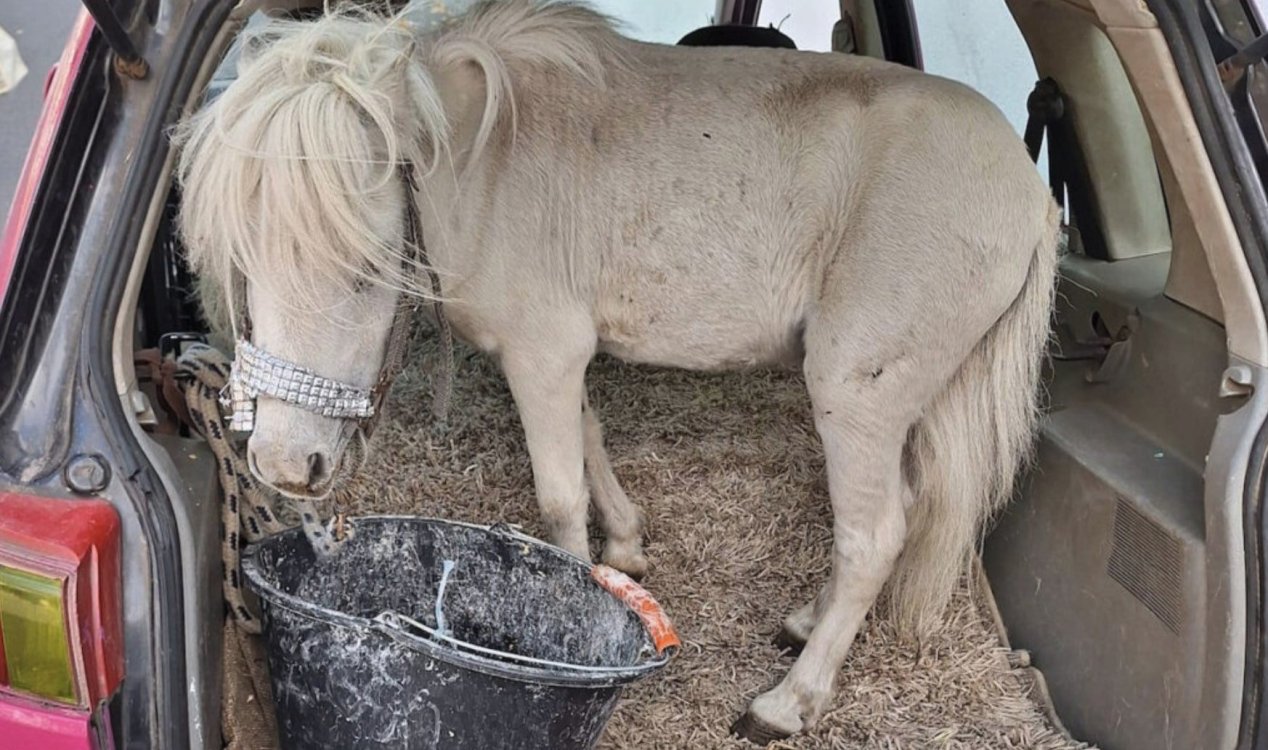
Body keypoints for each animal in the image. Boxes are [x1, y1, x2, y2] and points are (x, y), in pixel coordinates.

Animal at [175, 1, 1059, 740]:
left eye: (364, 269)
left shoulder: (544, 352)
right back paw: (807, 622)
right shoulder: (556, 356)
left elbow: (559, 499)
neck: (486, 165)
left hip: (856, 393)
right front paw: (626, 548)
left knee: (873, 537)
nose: (285, 465)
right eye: (242, 262)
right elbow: (591, 438)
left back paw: (788, 701)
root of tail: (1032, 195)